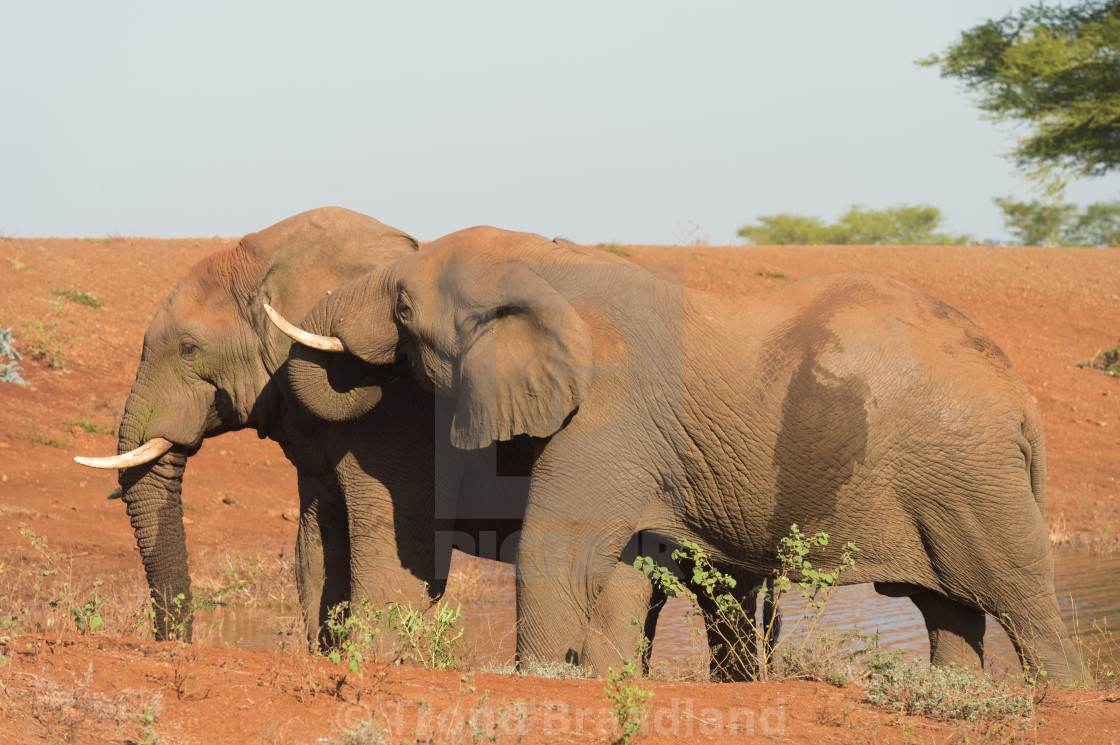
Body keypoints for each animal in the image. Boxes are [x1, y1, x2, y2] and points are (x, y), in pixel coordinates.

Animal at [271, 228, 1084, 685]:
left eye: (404, 309)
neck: (547, 262)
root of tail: (1021, 396)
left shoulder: (611, 409)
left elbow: (556, 544)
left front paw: (539, 678)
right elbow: (630, 562)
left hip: (969, 470)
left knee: (1017, 593)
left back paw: (1060, 695)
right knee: (950, 606)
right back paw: (956, 693)